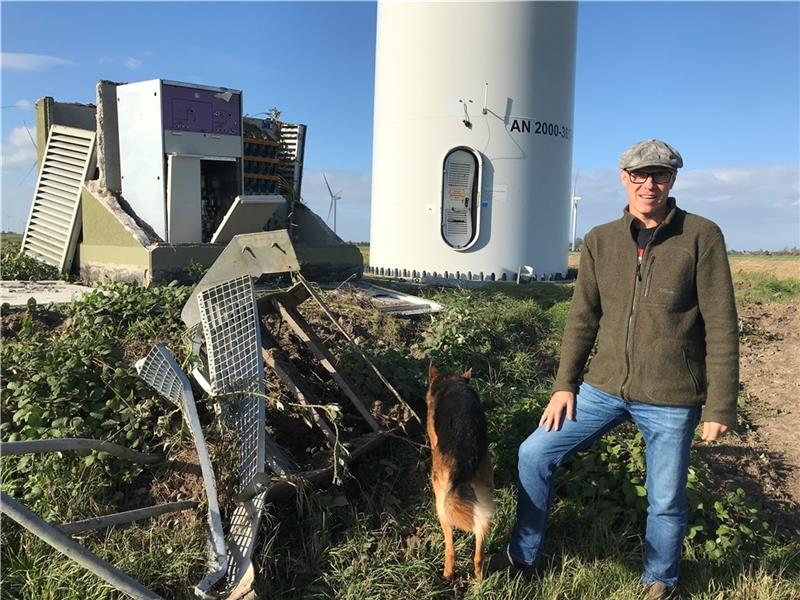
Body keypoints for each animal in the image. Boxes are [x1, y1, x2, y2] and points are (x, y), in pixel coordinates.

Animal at [424, 360, 494, 580]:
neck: (453, 381)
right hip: (484, 501)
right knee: (478, 553)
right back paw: (479, 580)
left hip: (442, 504)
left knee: (450, 548)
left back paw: (447, 574)